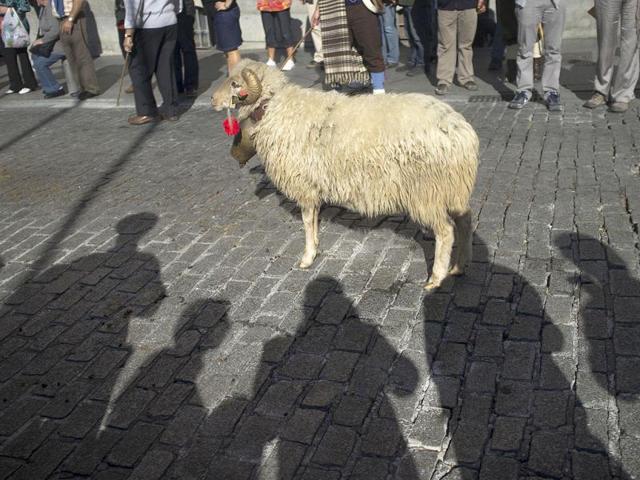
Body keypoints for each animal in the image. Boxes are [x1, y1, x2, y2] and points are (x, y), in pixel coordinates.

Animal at [211, 59, 479, 290]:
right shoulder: (313, 185)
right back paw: (459, 267)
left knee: (445, 231)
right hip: (454, 189)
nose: (213, 99)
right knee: (465, 221)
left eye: (235, 83)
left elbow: (307, 221)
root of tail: (460, 128)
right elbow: (314, 220)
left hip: (426, 191)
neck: (276, 109)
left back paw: (436, 278)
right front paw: (315, 247)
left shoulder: (304, 185)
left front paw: (307, 257)